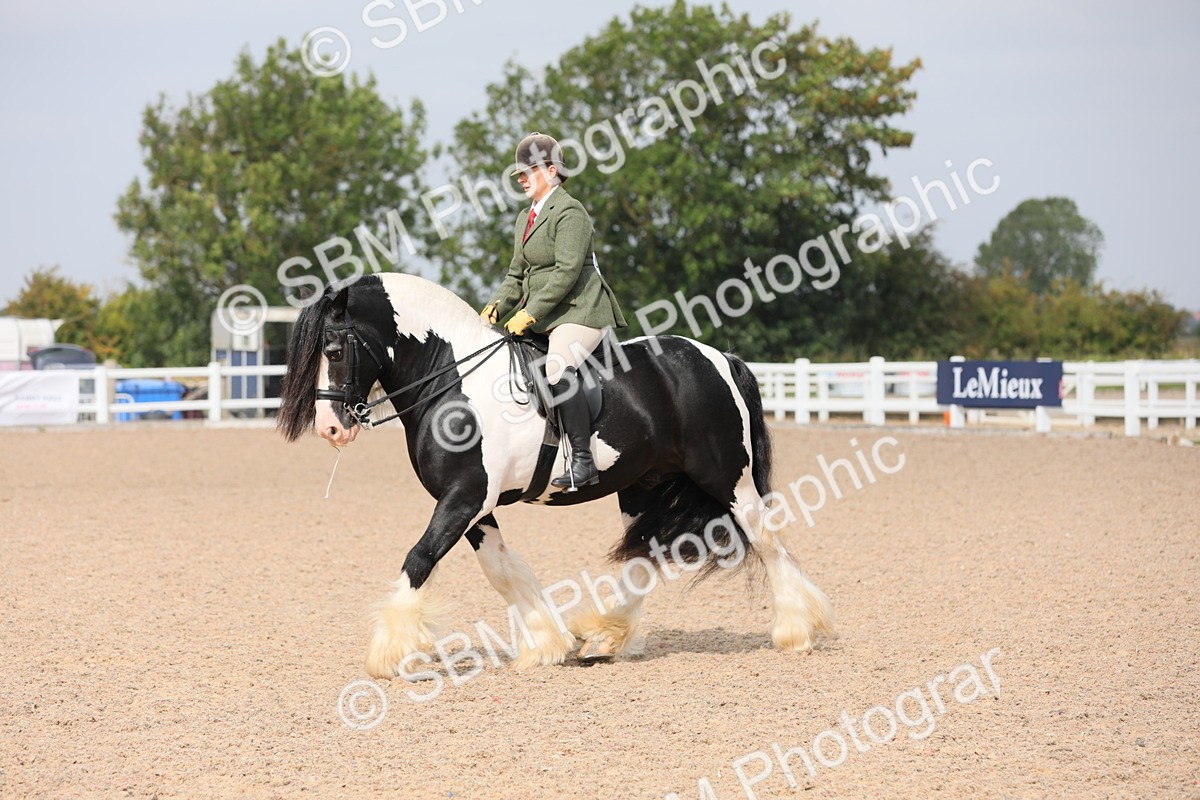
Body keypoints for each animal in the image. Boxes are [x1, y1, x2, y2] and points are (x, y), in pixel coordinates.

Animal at [277, 273, 834, 678]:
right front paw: (546, 643)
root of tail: (719, 357)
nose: (330, 427)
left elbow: (419, 558)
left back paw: (797, 631)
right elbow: (503, 571)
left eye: (333, 350)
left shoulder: (464, 498)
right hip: (643, 484)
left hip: (726, 478)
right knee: (646, 553)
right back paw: (605, 637)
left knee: (767, 540)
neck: (452, 380)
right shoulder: (473, 506)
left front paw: (389, 653)